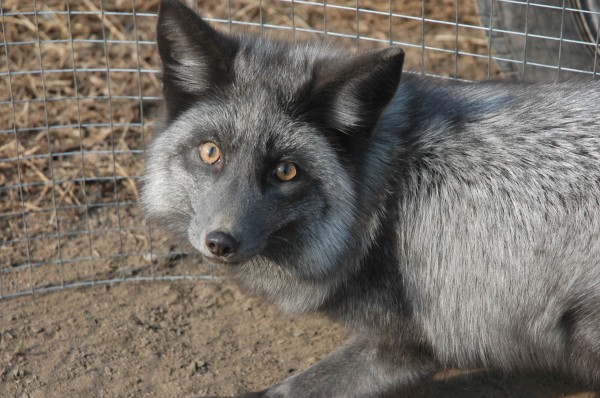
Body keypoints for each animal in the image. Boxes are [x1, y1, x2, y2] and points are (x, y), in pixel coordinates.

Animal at [144, 1, 600, 396]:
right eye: (210, 152)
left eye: (286, 171)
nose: (220, 242)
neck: (386, 193)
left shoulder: (407, 344)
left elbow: (293, 388)